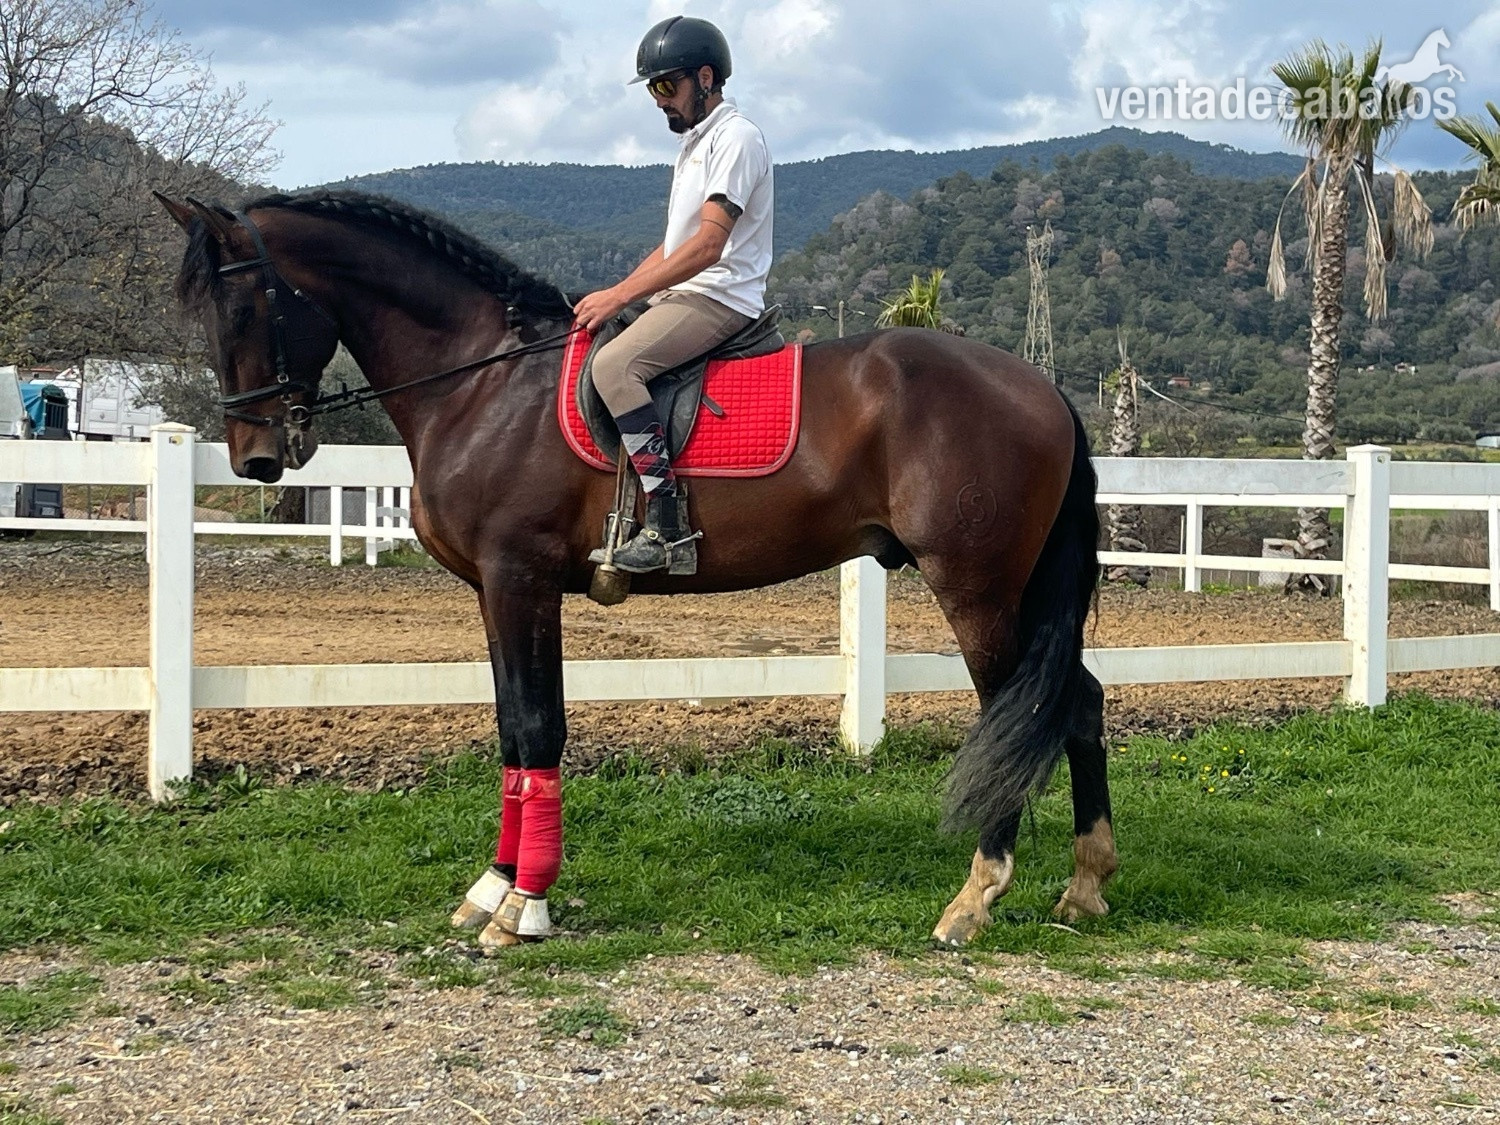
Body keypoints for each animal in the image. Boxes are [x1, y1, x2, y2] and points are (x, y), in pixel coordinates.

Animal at [156, 189, 1115, 950]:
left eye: (242, 309)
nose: (254, 459)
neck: (483, 385)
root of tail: (1043, 389)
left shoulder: (521, 578)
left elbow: (539, 729)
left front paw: (526, 907)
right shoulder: (494, 591)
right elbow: (512, 733)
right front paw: (492, 887)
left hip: (976, 586)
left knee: (1022, 710)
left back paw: (975, 899)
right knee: (1078, 701)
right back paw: (1084, 885)